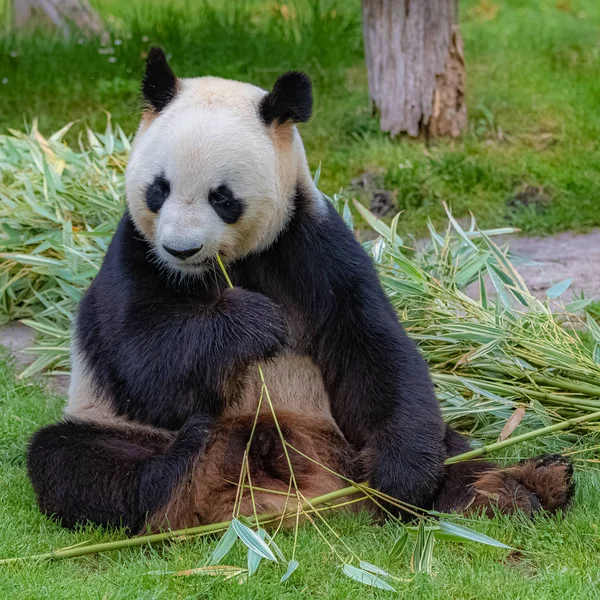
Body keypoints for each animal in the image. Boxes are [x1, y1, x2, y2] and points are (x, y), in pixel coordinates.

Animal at [25, 49, 576, 532]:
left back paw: (523, 487)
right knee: (75, 461)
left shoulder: (309, 244)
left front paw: (400, 478)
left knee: (449, 446)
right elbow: (141, 362)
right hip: (108, 425)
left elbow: (371, 348)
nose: (181, 249)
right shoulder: (135, 256)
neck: (221, 267)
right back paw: (184, 460)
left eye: (222, 197)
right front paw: (253, 322)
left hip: (345, 435)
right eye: (158, 189)